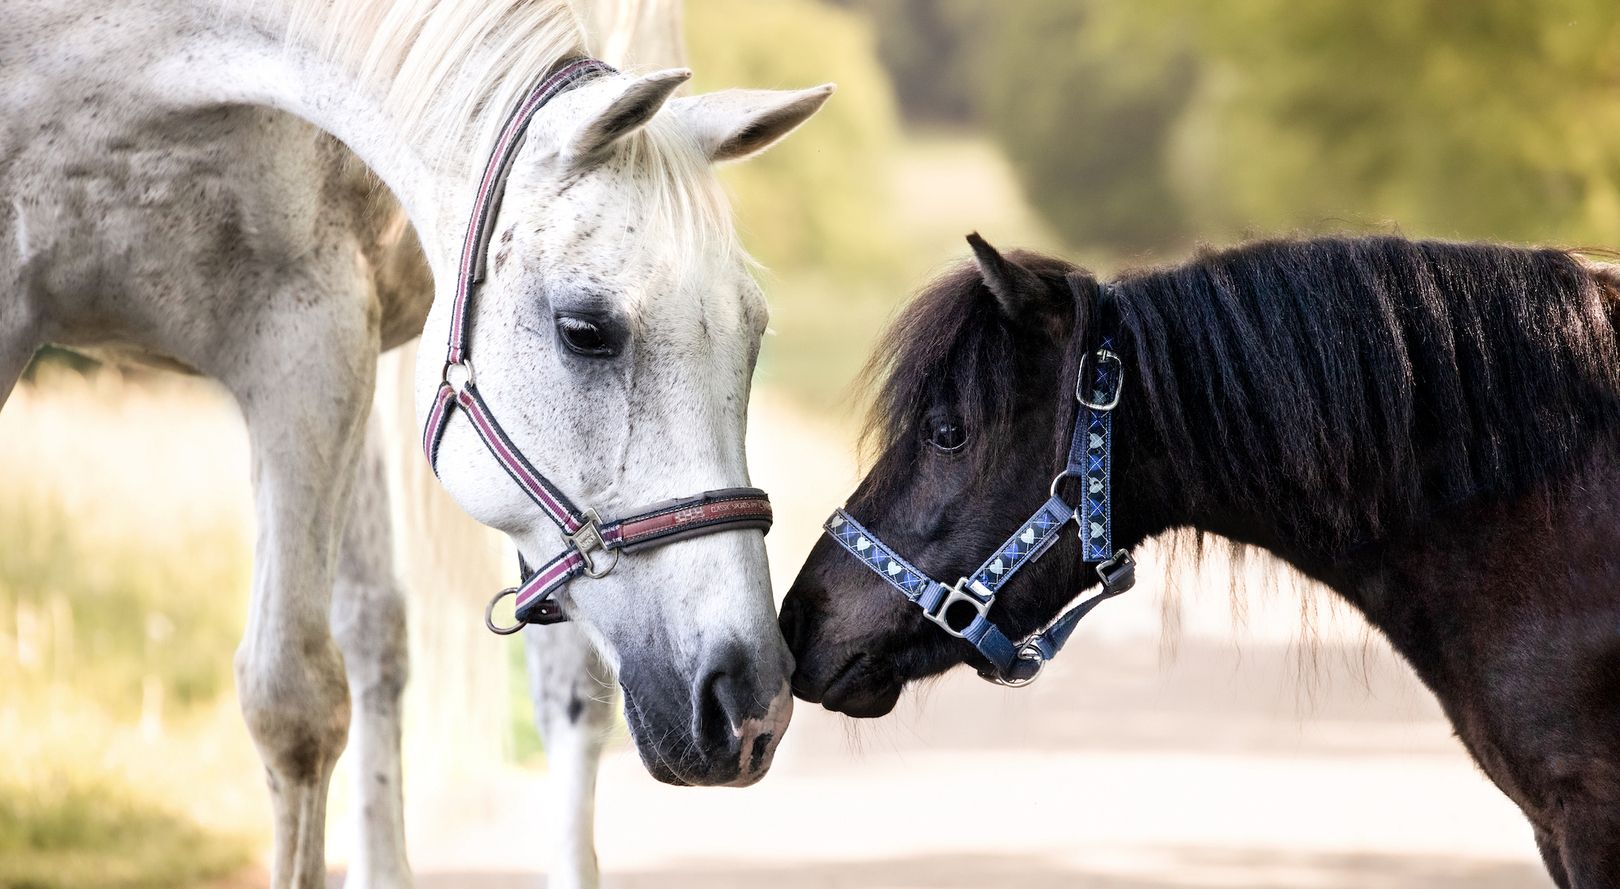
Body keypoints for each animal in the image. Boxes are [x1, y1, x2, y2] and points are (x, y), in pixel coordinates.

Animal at [2, 0, 831, 886]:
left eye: (754, 334)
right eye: (585, 329)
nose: (751, 699)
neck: (133, 61)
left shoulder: (307, 327)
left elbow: (293, 704)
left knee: (564, 694)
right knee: (376, 634)